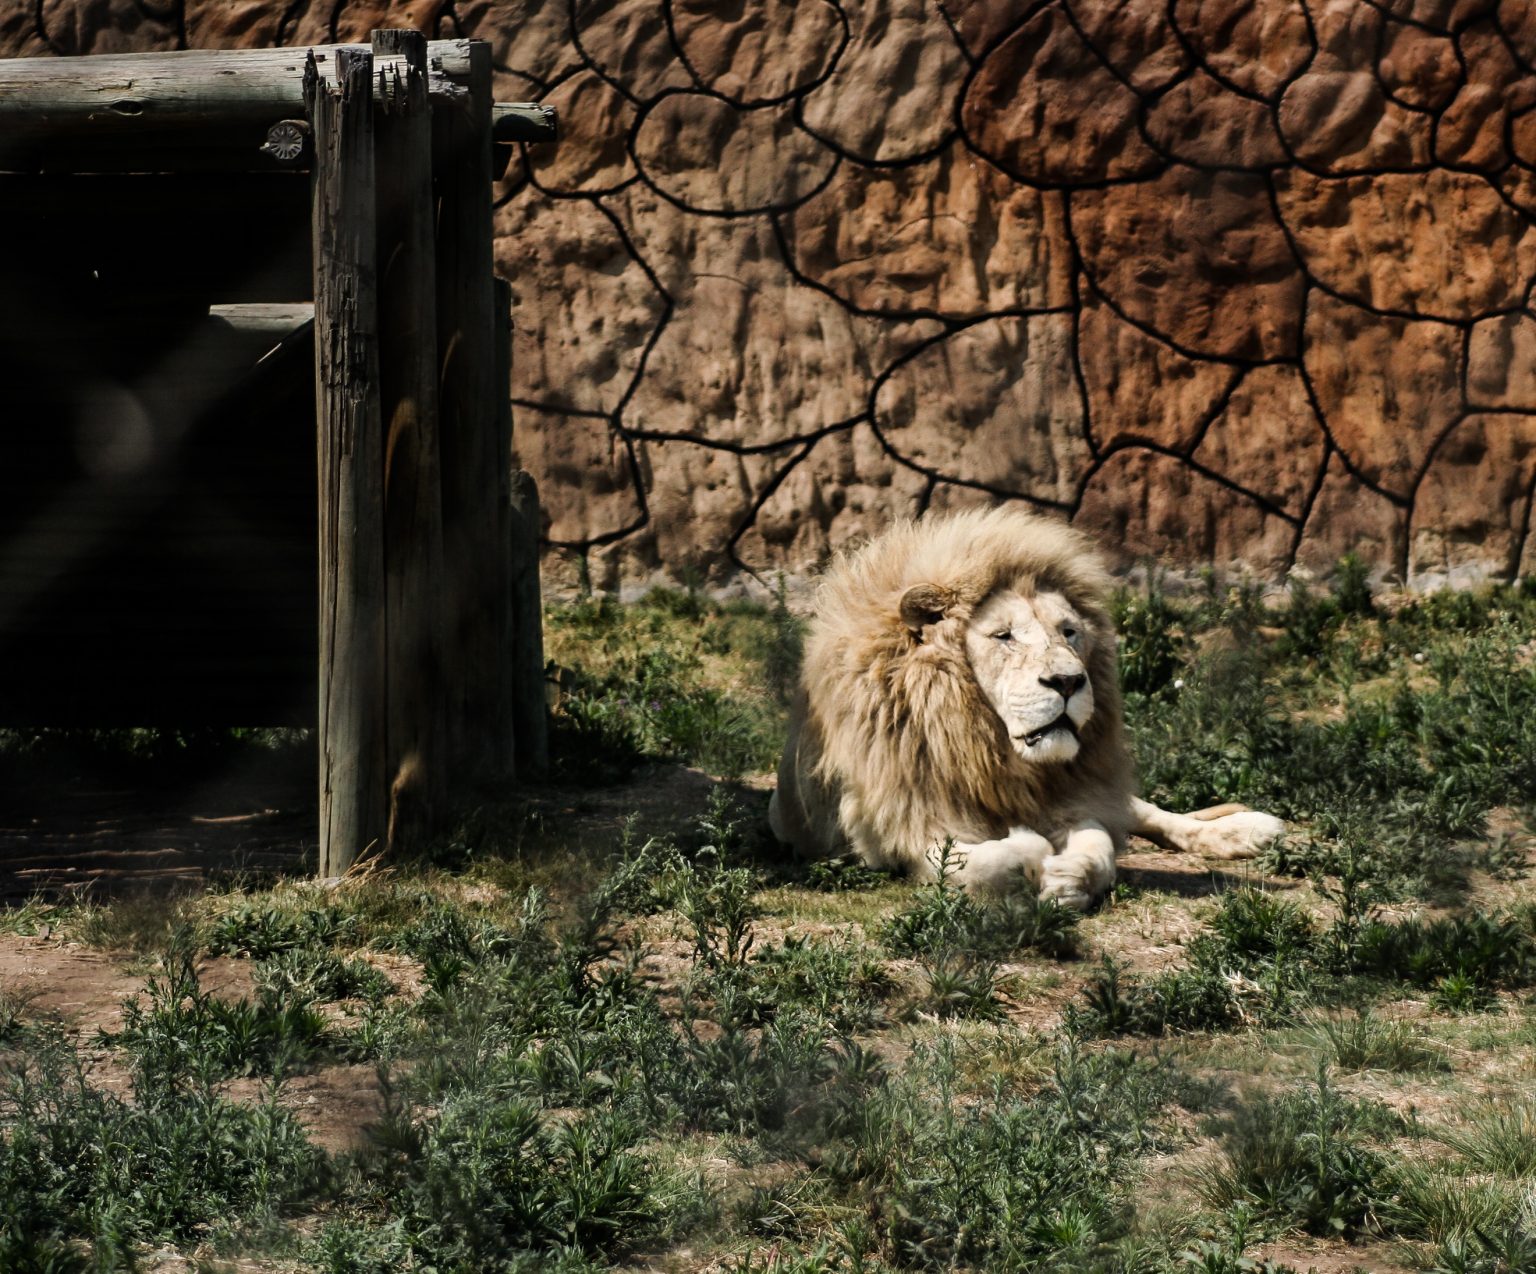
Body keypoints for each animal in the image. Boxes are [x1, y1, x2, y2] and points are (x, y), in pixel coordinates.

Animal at [767, 507, 1284, 909]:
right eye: (1003, 636)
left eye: (1069, 631)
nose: (1069, 681)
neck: (989, 753)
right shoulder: (904, 832)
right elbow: (994, 860)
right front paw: (1035, 854)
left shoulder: (1073, 797)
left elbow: (1100, 847)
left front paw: (1069, 877)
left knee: (1147, 812)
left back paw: (1251, 830)